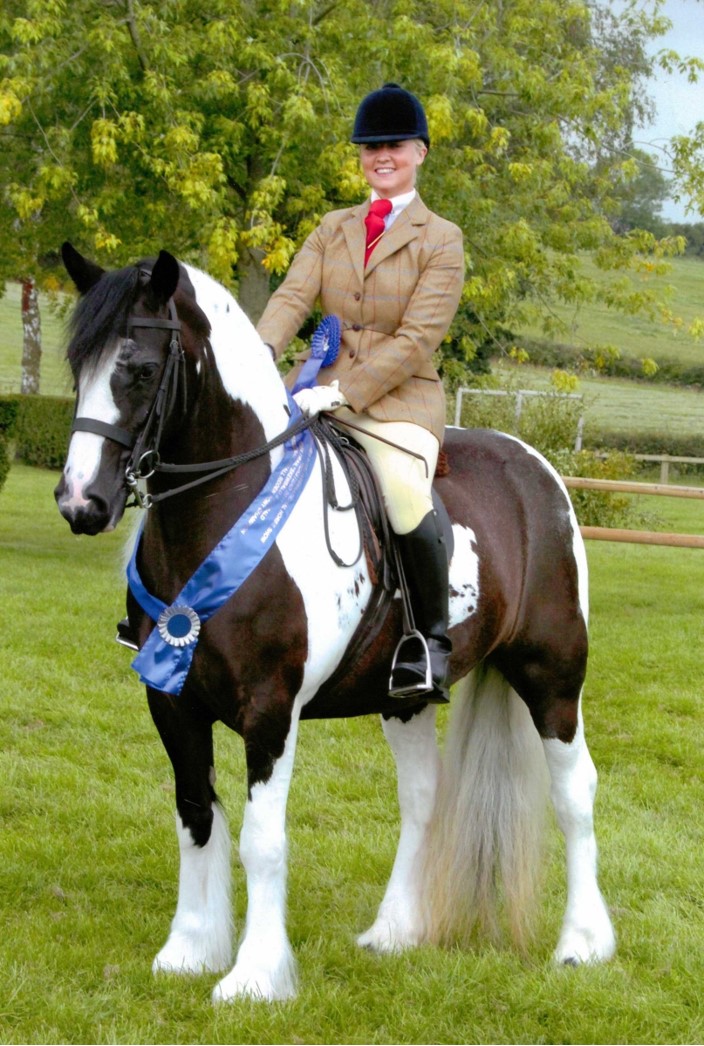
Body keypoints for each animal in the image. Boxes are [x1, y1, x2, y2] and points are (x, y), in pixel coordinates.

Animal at [56, 242, 615, 1004]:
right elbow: (196, 814)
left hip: (552, 675)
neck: (226, 509)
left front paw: (255, 977)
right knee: (422, 796)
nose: (81, 503)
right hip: (405, 696)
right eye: (75, 367)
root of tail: (535, 467)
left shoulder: (270, 708)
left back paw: (583, 943)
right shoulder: (171, 701)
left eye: (140, 369)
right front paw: (191, 950)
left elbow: (261, 839)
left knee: (574, 792)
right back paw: (394, 932)